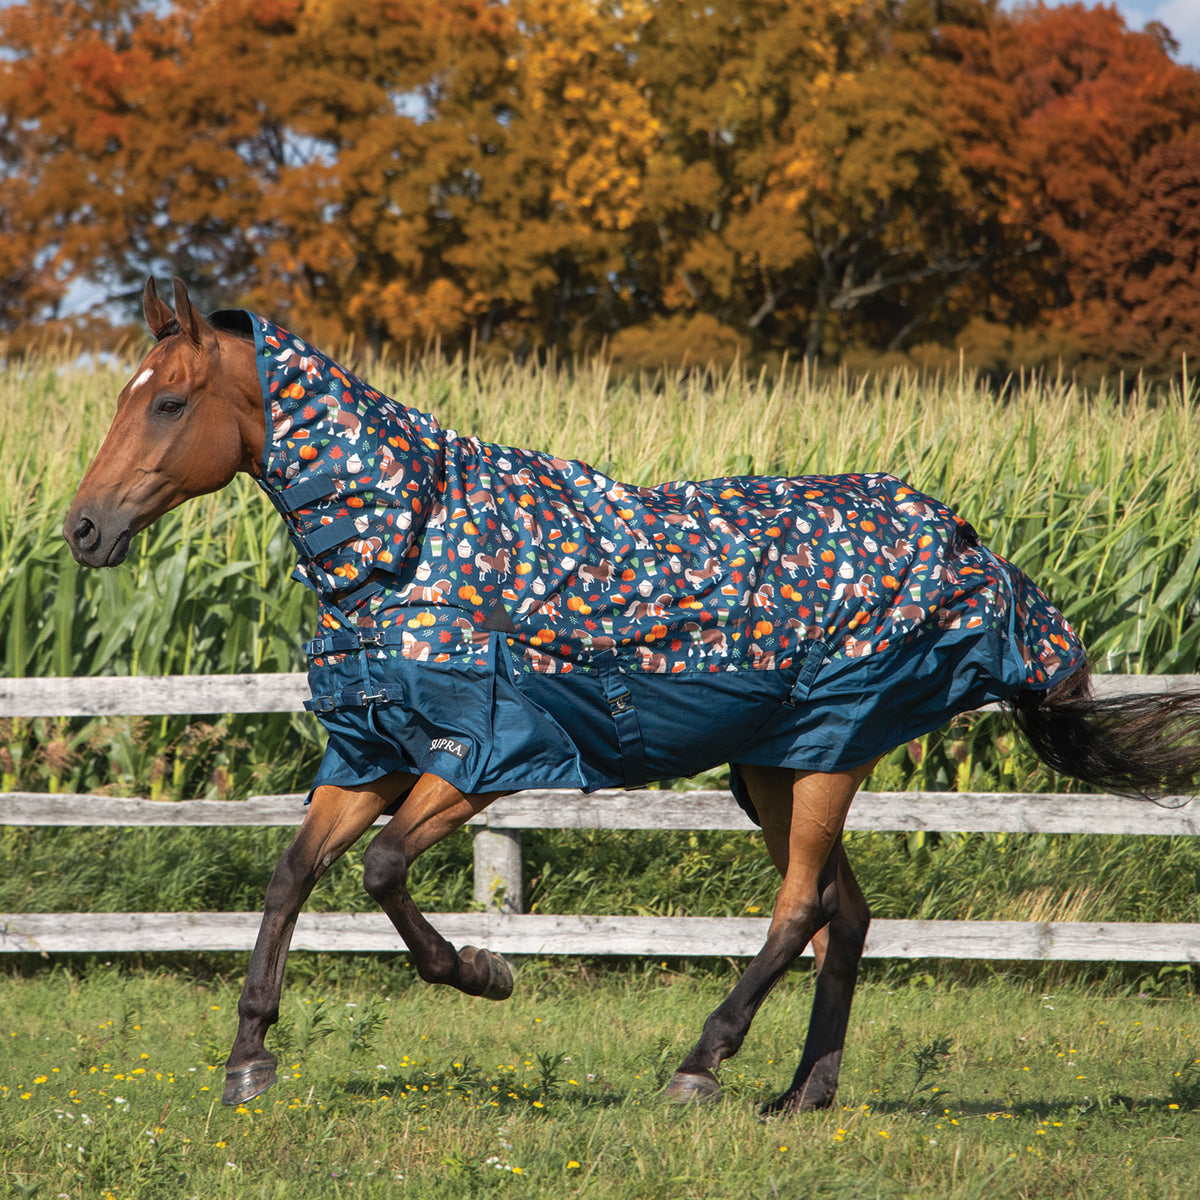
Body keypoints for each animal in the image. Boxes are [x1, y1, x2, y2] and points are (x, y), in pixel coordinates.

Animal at [64, 278, 1200, 1115]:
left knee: (800, 909)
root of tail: (969, 545)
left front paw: (484, 971)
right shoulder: (375, 751)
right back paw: (802, 1093)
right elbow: (292, 872)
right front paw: (248, 1055)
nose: (82, 530)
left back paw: (701, 1065)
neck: (413, 540)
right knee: (845, 916)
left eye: (168, 401)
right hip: (775, 766)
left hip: (829, 754)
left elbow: (382, 870)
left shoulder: (482, 757)